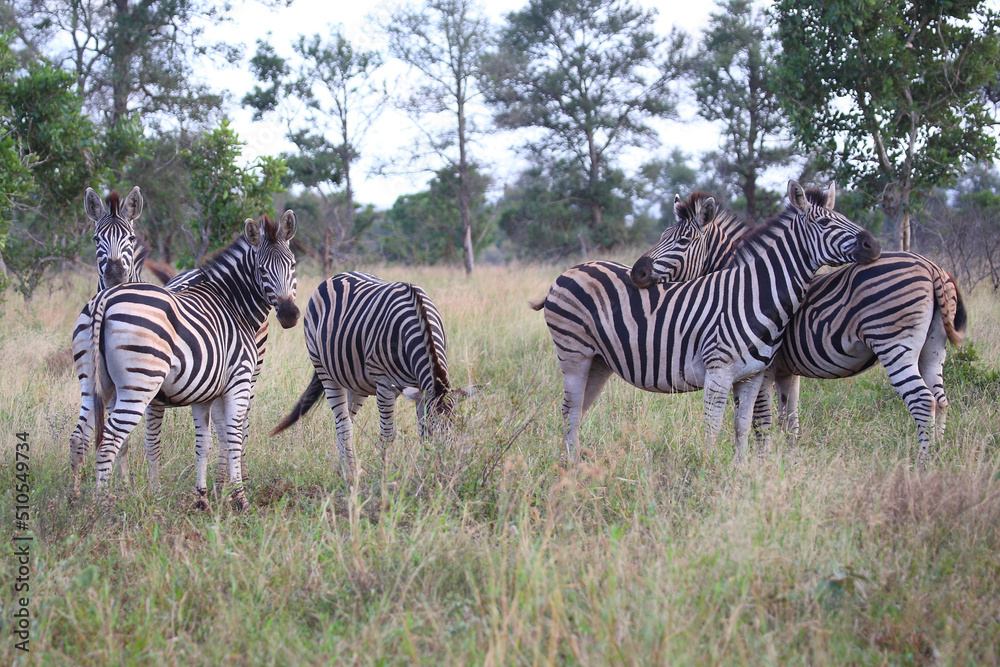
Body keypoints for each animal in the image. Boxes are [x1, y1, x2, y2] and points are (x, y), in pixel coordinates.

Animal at [81, 212, 299, 510]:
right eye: (262, 270)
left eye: (292, 265)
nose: (289, 314)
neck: (233, 304)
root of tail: (106, 299)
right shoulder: (239, 379)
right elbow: (233, 436)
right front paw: (240, 498)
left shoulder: (207, 391)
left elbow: (206, 442)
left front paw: (204, 496)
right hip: (139, 385)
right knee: (108, 442)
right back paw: (101, 507)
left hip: (95, 382)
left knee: (82, 435)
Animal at [271, 272, 475, 482]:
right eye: (432, 432)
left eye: (456, 429)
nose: (445, 475)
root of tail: (337, 275)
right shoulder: (385, 386)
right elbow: (388, 434)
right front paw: (386, 478)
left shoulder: (420, 390)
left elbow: (417, 429)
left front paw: (424, 473)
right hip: (324, 370)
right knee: (343, 423)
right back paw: (349, 474)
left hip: (357, 380)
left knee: (347, 420)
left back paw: (343, 468)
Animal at [533, 180, 881, 464]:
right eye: (824, 222)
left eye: (843, 218)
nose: (874, 245)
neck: (754, 294)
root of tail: (570, 270)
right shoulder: (719, 373)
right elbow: (715, 430)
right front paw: (707, 474)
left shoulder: (753, 376)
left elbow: (744, 427)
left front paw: (741, 475)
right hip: (573, 355)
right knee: (569, 411)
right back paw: (572, 469)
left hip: (598, 361)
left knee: (577, 411)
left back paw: (576, 464)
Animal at [631, 187, 966, 466]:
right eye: (664, 235)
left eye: (682, 241)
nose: (637, 272)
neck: (750, 285)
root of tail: (933, 268)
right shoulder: (787, 372)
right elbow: (789, 421)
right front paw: (788, 462)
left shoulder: (764, 369)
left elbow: (761, 420)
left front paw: (762, 464)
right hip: (932, 351)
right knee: (940, 400)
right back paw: (939, 455)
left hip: (894, 345)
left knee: (922, 400)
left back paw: (922, 464)